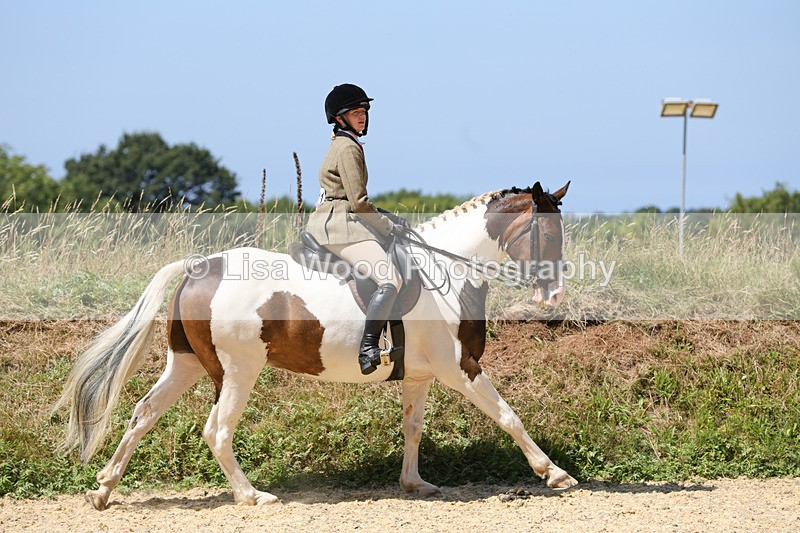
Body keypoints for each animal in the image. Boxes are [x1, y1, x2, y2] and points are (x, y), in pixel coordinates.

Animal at [56, 181, 575, 510]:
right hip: (237, 370)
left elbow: (412, 428)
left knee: (143, 414)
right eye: (549, 232)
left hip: (185, 363)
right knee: (217, 430)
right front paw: (553, 473)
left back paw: (103, 490)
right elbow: (508, 416)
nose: (554, 296)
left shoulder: (422, 373)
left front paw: (414, 484)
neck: (447, 268)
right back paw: (252, 496)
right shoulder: (459, 366)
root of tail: (201, 265)